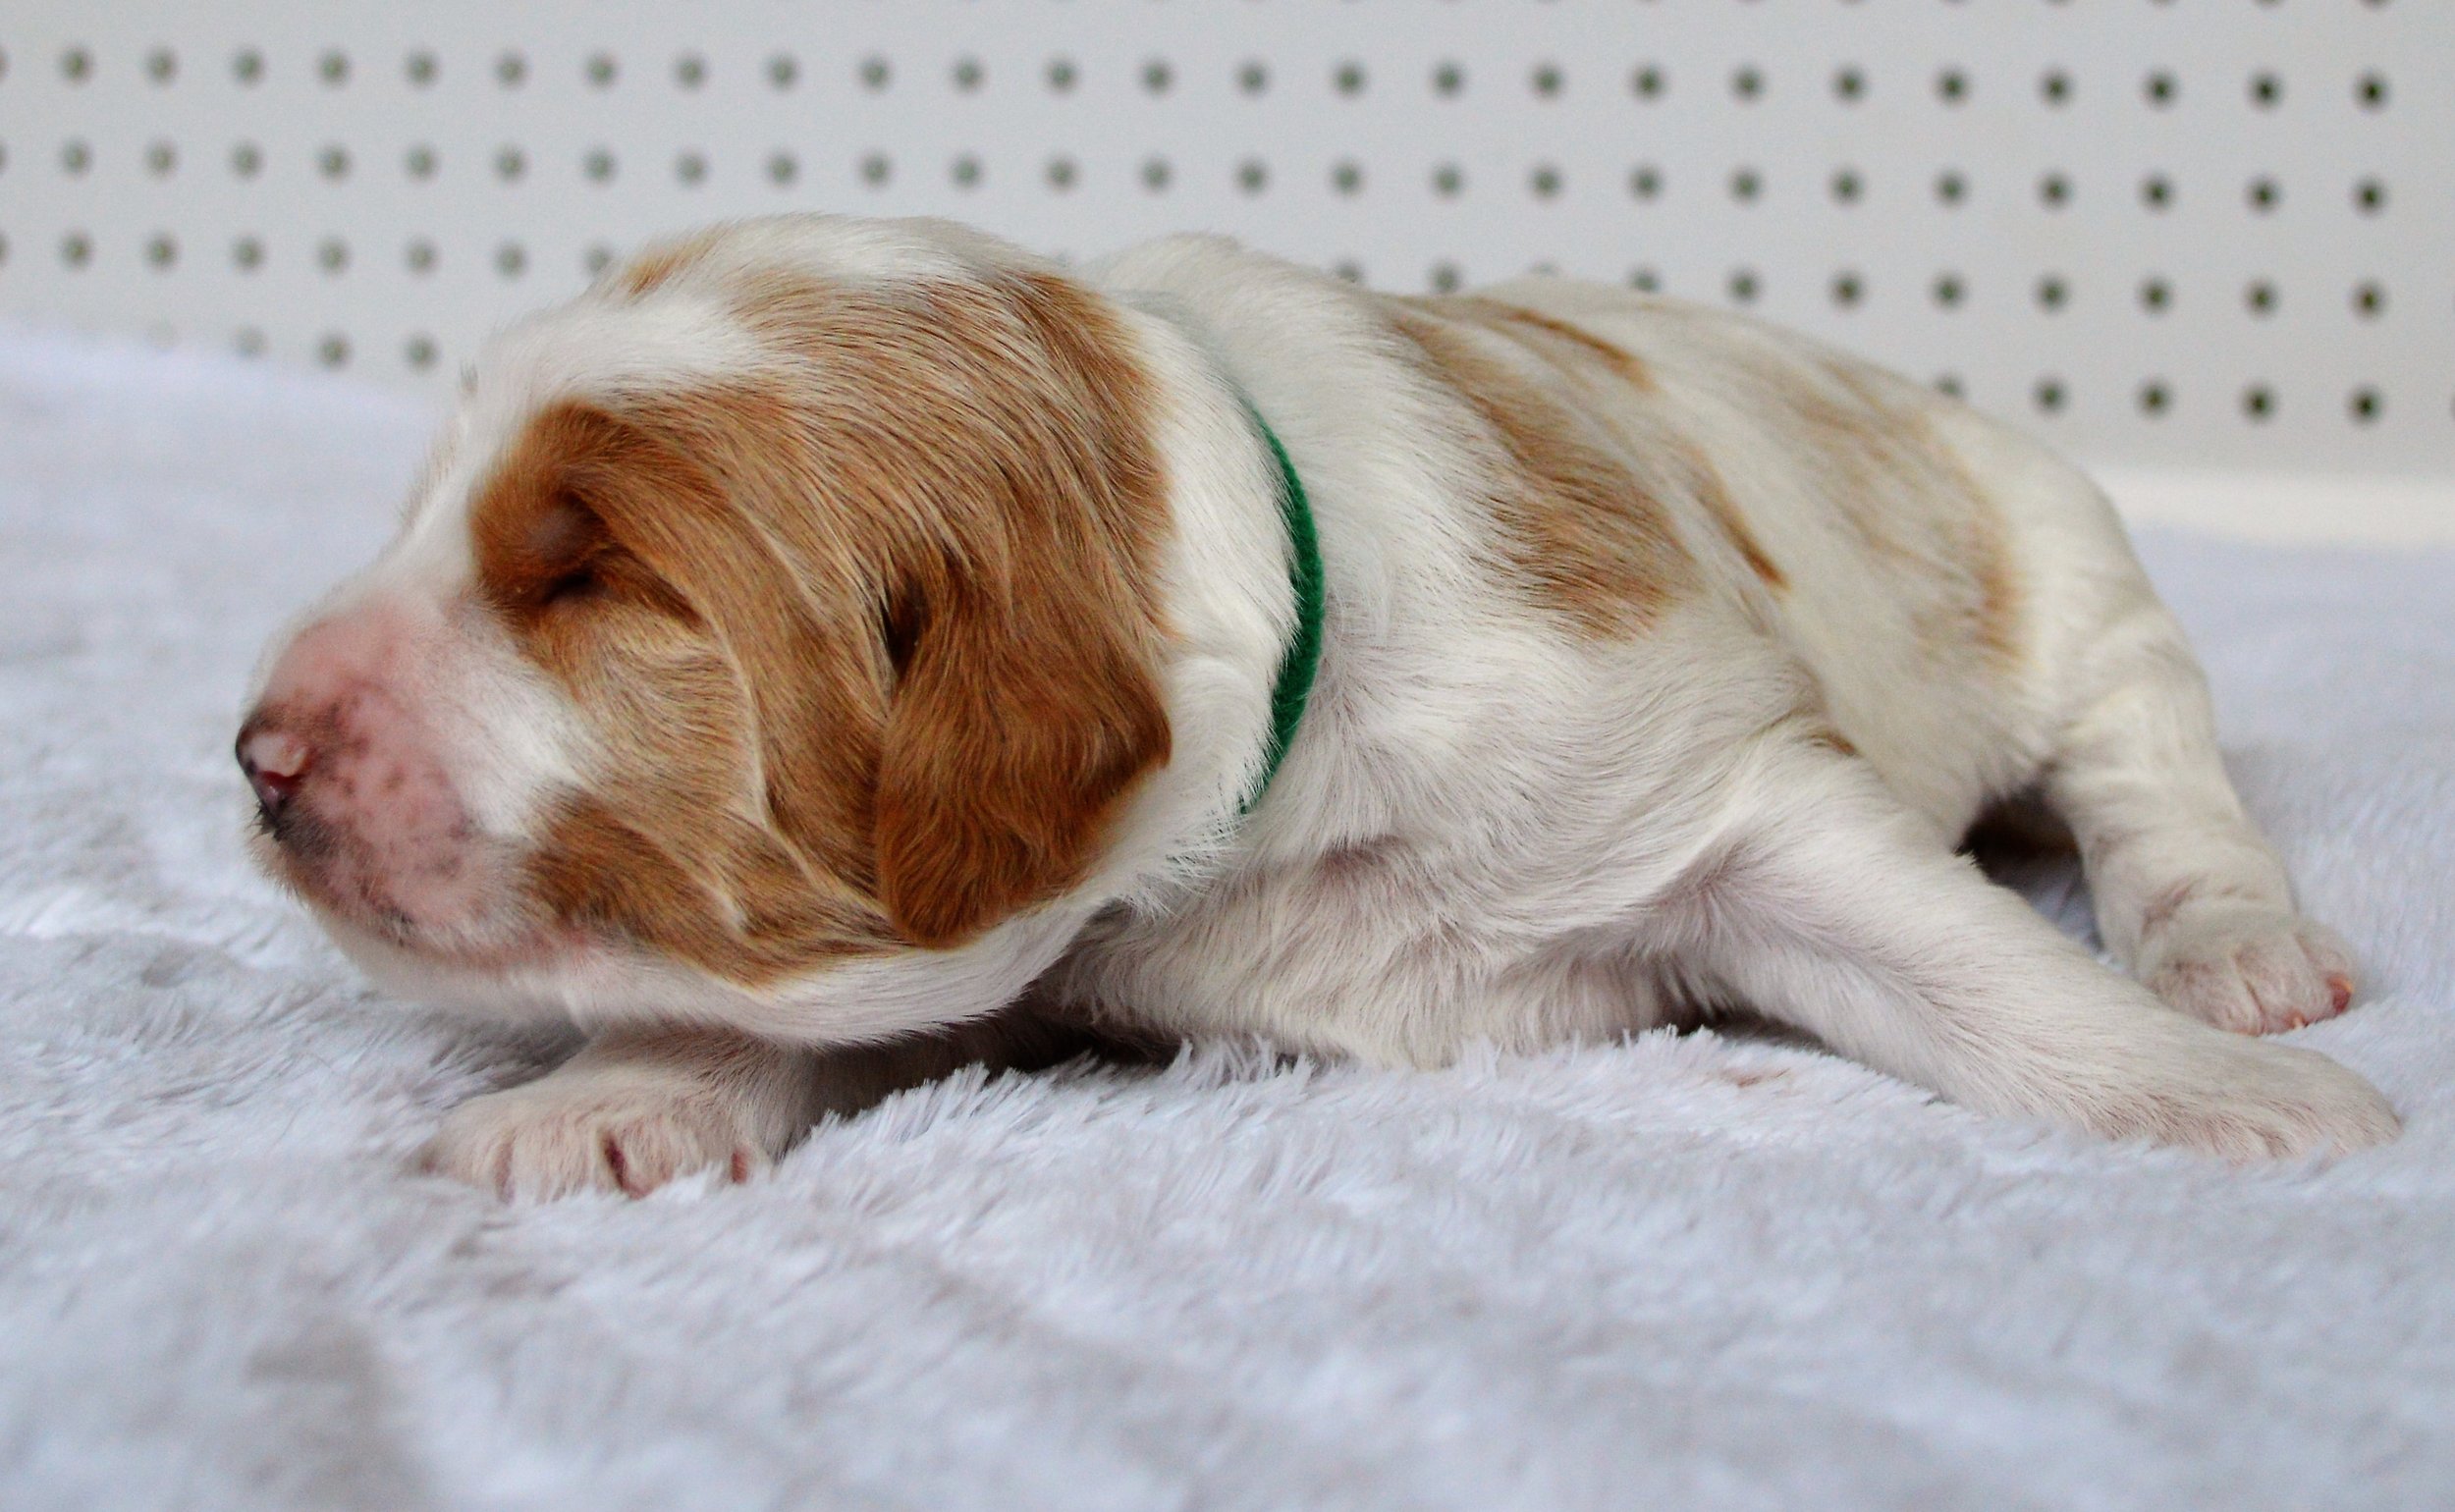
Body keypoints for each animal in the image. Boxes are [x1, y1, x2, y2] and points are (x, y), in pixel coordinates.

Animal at [234, 218, 2396, 1198]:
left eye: (584, 573)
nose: (254, 756)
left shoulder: (1720, 792)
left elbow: (1969, 965)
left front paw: (2250, 1109)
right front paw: (603, 1098)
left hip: (2062, 549)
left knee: (2150, 763)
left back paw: (2238, 961)